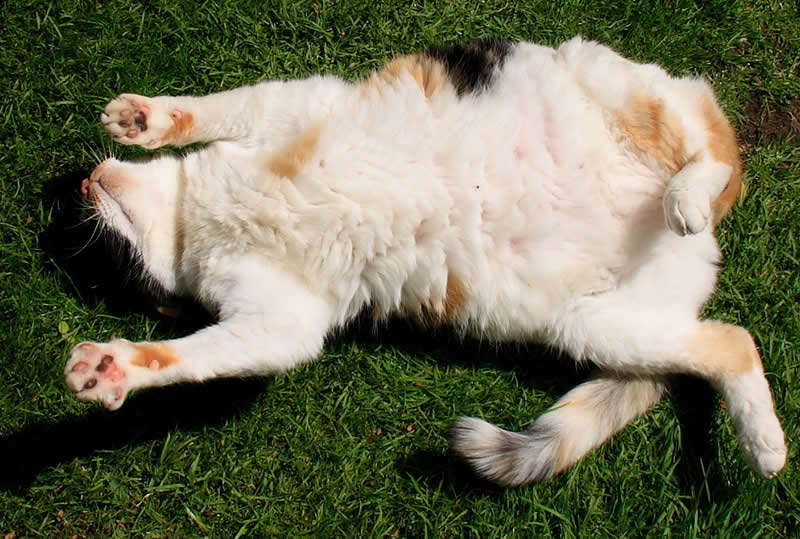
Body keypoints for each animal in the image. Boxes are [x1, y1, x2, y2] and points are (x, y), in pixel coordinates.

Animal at [64, 37, 788, 486]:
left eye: (101, 259)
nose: (83, 184)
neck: (203, 212)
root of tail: (704, 244)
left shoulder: (293, 104)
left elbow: (221, 105)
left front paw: (144, 119)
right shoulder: (279, 319)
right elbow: (195, 354)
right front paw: (113, 368)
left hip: (617, 83)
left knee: (713, 150)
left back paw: (686, 196)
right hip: (594, 326)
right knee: (732, 341)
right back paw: (765, 444)